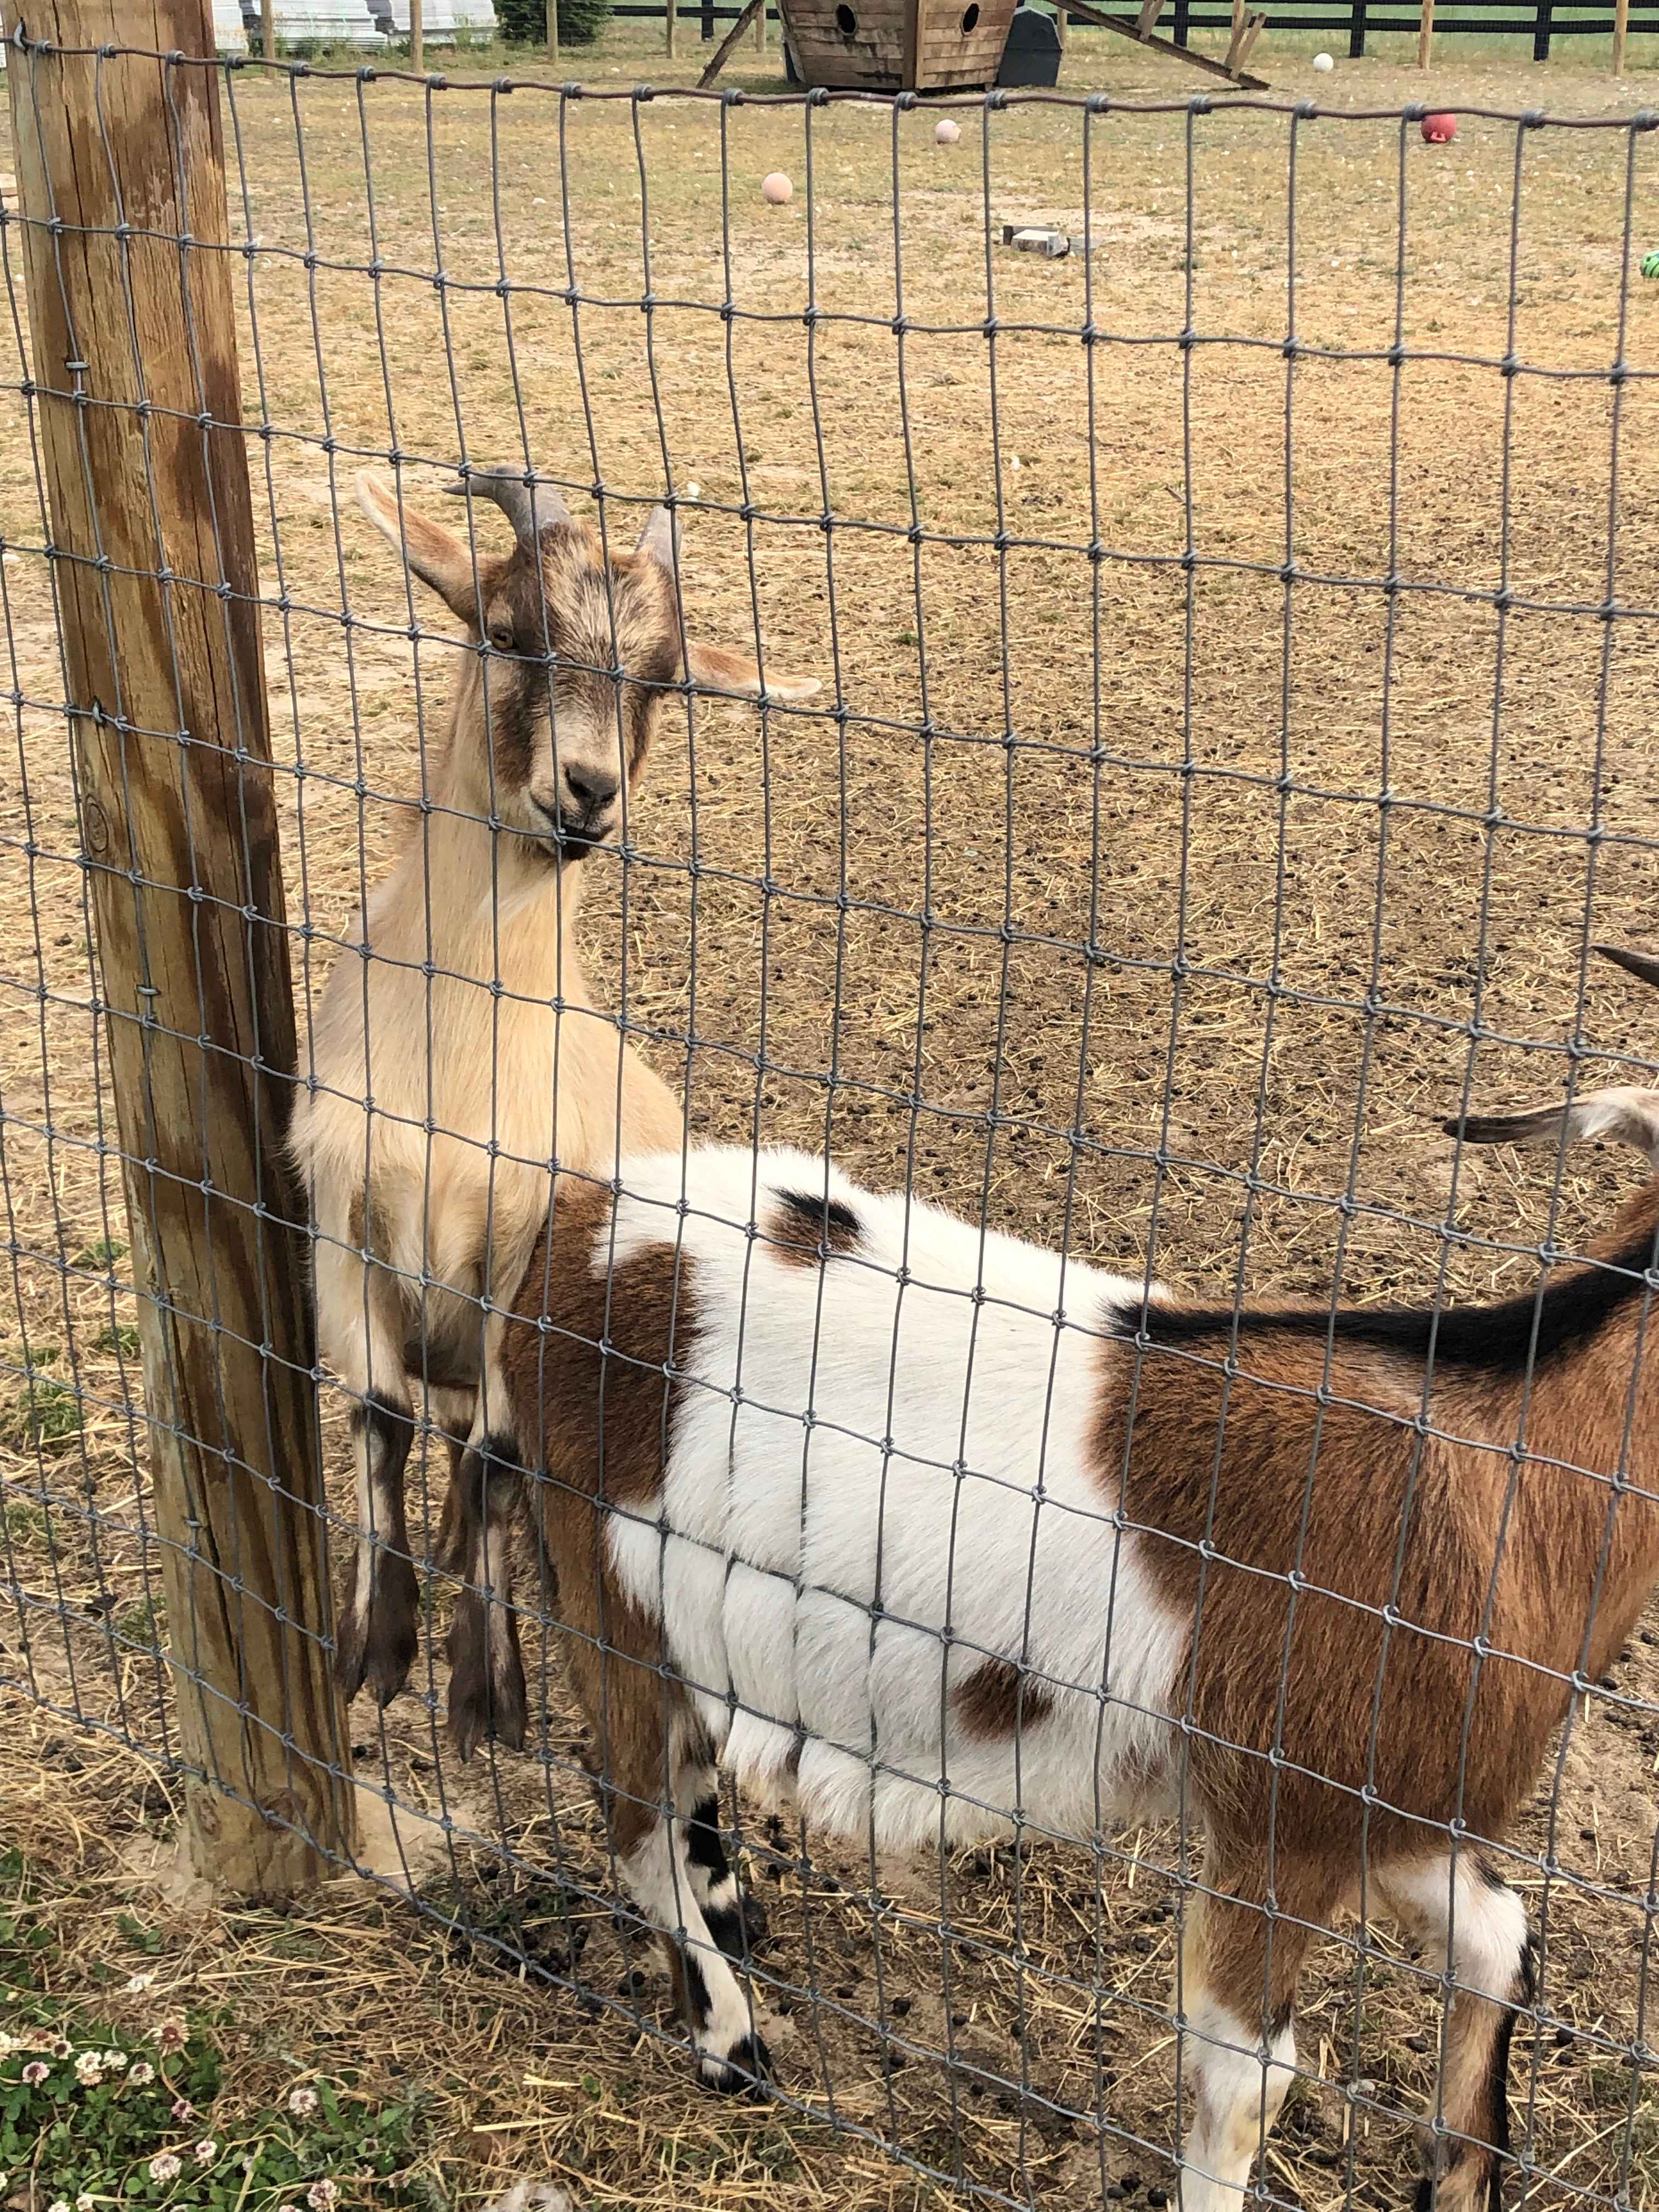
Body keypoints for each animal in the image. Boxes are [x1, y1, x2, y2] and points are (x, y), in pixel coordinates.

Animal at [289, 462, 818, 1761]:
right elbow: (379, 1419)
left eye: (665, 681)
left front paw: (488, 1693)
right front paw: (372, 1650)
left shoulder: (517, 1253)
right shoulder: (342, 1224)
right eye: (507, 630)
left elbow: (487, 1459)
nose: (588, 794)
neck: (458, 1055)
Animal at [495, 944, 1659, 2212]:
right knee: (632, 1814)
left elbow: (1500, 1943)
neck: (1498, 1464)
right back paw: (729, 2042)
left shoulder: (1397, 1815)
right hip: (606, 1594)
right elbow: (1247, 2080)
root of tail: (576, 1227)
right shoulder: (1278, 1829)